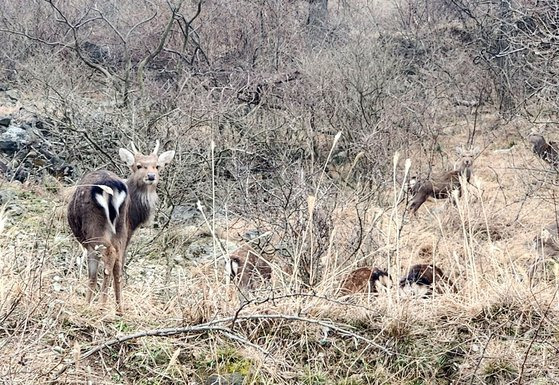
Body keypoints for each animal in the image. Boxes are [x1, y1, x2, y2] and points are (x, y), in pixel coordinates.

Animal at [67, 140, 175, 314]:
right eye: (139, 166)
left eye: (157, 166)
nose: (151, 176)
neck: (135, 217)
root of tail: (111, 188)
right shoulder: (127, 231)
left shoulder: (90, 244)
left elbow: (92, 275)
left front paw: (87, 305)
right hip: (119, 230)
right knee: (118, 263)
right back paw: (119, 310)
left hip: (96, 229)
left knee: (109, 256)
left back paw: (102, 306)